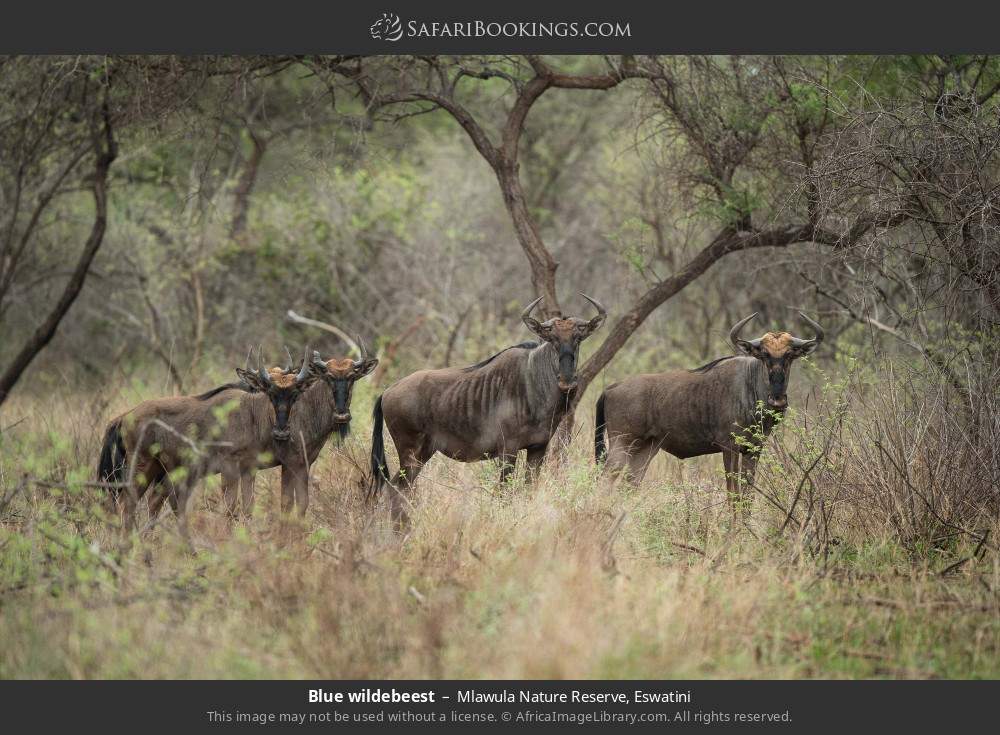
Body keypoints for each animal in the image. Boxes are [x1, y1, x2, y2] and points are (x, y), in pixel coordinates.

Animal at [370, 294, 607, 526]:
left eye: (578, 338)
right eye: (553, 340)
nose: (567, 382)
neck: (533, 382)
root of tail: (388, 391)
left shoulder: (538, 449)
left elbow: (528, 489)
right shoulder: (507, 452)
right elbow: (503, 493)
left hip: (423, 453)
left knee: (400, 488)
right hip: (410, 453)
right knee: (396, 489)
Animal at [594, 313, 824, 507]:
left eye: (790, 354)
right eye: (764, 354)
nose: (777, 399)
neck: (750, 386)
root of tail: (611, 388)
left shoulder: (753, 449)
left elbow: (747, 497)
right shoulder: (729, 447)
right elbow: (733, 495)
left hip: (645, 449)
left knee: (629, 486)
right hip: (620, 447)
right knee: (603, 482)